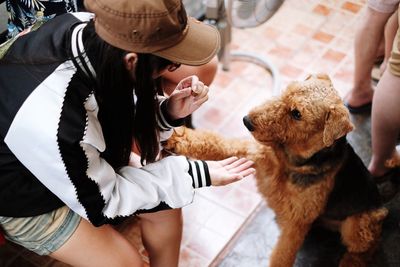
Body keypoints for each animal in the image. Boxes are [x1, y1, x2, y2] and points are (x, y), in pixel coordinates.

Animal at [162, 74, 388, 267]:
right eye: (285, 91)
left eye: (297, 114)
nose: (247, 121)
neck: (290, 160)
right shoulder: (254, 153)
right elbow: (217, 144)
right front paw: (177, 138)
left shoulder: (296, 221)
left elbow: (283, 254)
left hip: (358, 224)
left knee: (366, 248)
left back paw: (350, 261)